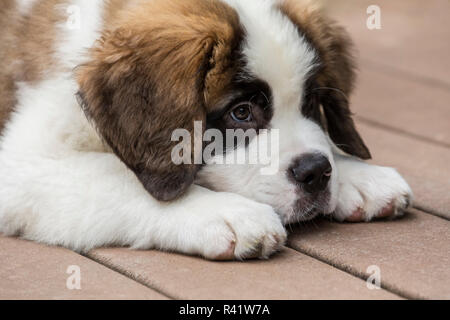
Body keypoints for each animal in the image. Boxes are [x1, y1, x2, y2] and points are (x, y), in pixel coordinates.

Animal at [0, 0, 414, 258]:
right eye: (241, 113)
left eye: (311, 103)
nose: (315, 173)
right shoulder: (22, 164)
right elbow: (116, 175)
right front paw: (223, 212)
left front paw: (356, 175)